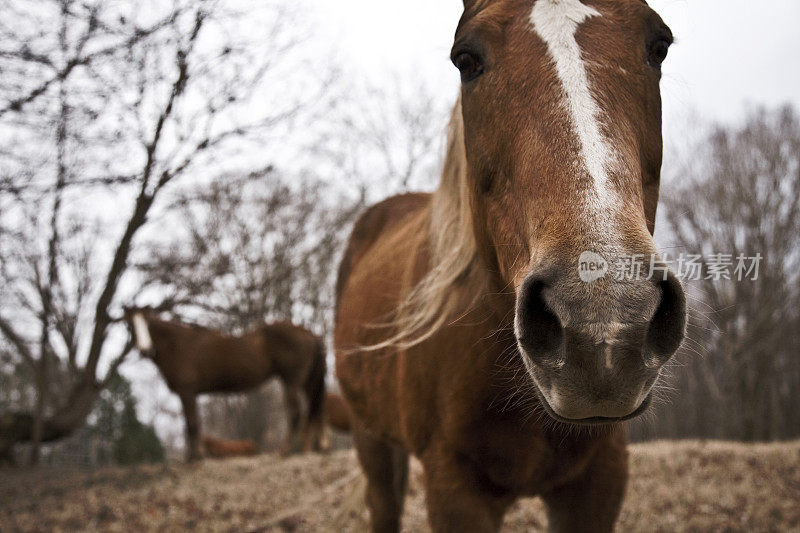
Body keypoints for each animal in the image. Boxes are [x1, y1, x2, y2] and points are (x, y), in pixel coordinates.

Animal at [125, 308, 324, 462]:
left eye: (149, 324)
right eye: (130, 325)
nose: (145, 350)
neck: (177, 345)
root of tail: (309, 333)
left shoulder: (187, 392)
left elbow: (192, 424)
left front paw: (195, 458)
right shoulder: (190, 394)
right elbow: (191, 425)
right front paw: (193, 456)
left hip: (291, 381)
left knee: (296, 413)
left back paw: (285, 451)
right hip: (307, 383)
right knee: (313, 411)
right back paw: (307, 449)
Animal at [334, 1, 684, 532]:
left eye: (658, 47)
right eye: (466, 59)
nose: (603, 327)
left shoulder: (599, 481)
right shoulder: (454, 489)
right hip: (370, 438)